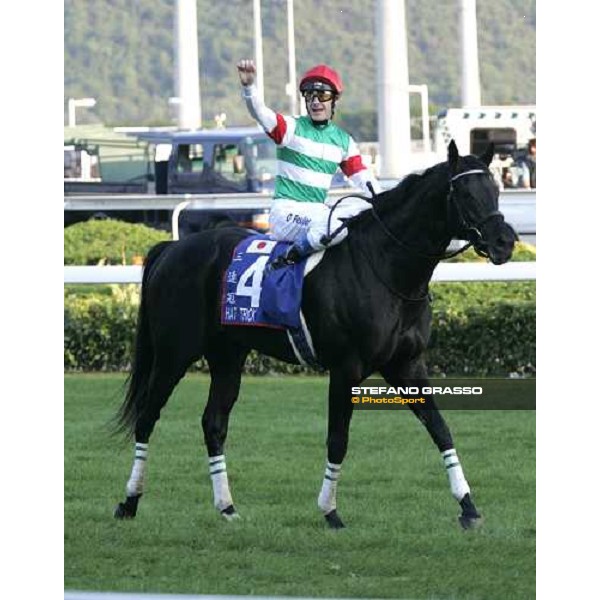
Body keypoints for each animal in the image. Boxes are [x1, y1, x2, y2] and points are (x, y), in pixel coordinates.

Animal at [115, 141, 516, 528]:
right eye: (465, 193)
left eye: (495, 189)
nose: (505, 241)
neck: (386, 268)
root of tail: (173, 247)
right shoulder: (346, 368)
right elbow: (338, 439)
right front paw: (330, 510)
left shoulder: (407, 365)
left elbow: (440, 428)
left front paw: (468, 506)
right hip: (174, 353)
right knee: (147, 417)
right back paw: (129, 501)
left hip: (227, 355)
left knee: (213, 423)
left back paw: (226, 507)